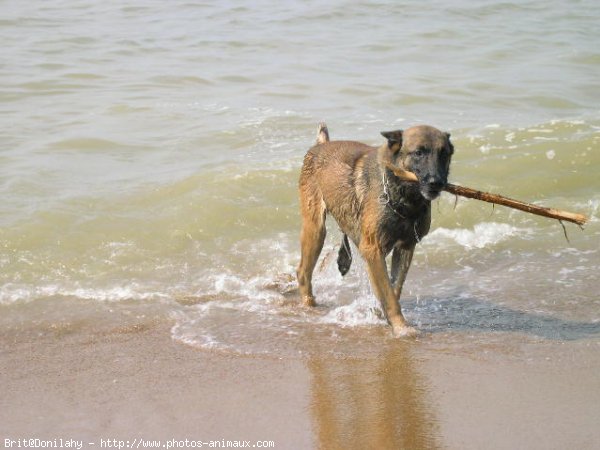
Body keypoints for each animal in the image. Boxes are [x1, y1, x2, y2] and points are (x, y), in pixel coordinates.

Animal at [296, 123, 454, 338]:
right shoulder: (373, 250)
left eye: (444, 153)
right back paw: (309, 306)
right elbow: (389, 294)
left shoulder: (406, 248)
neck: (402, 194)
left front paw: (384, 317)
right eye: (419, 153)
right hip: (315, 229)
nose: (436, 183)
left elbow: (394, 288)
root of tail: (320, 145)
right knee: (303, 272)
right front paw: (400, 326)